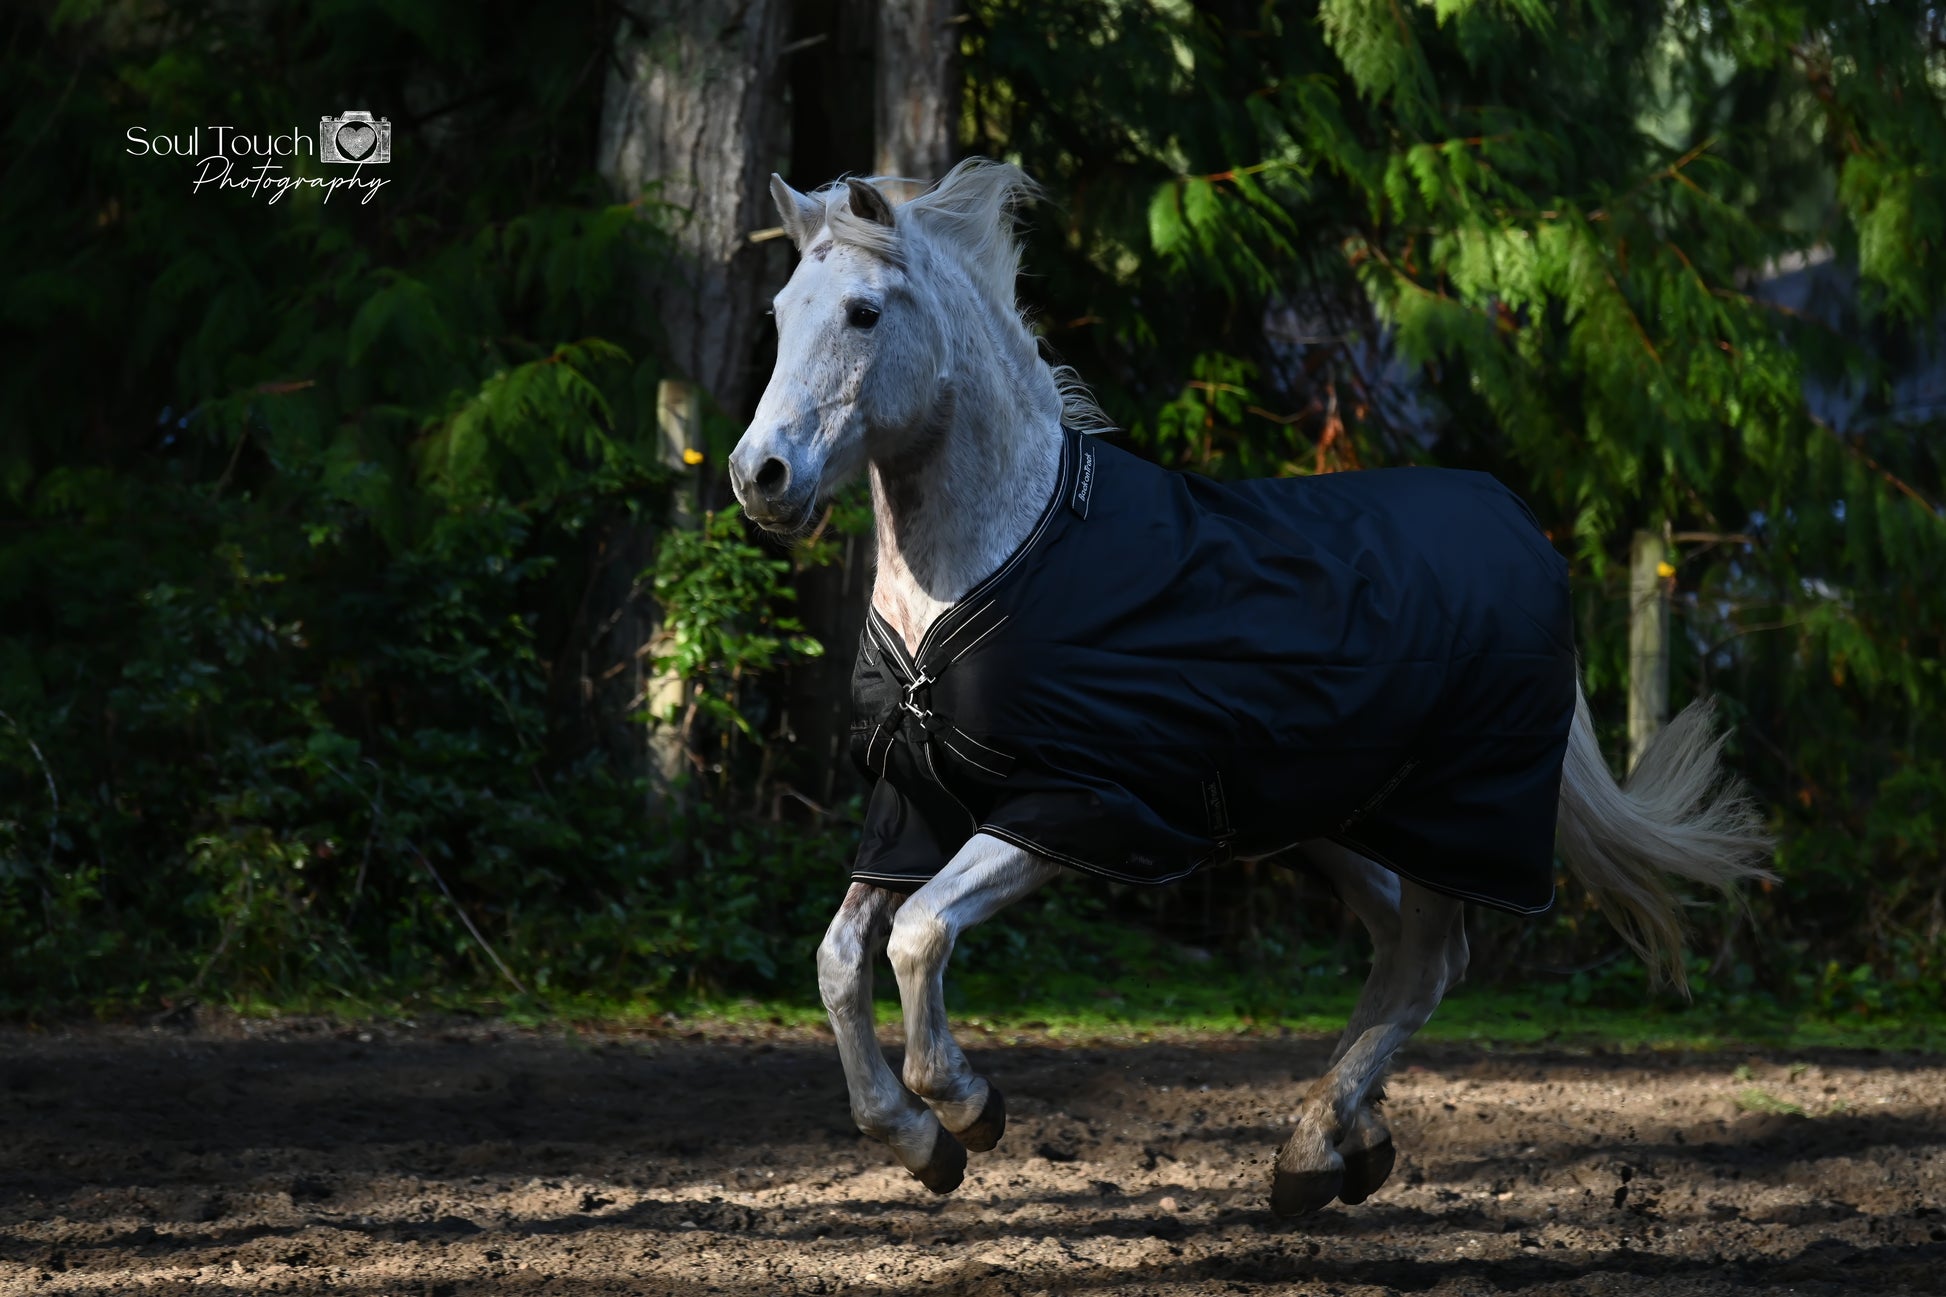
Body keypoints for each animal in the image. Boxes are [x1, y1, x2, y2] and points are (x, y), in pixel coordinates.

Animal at [727, 159, 1773, 1218]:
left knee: (1428, 963)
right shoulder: (914, 806)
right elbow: (839, 958)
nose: (759, 475)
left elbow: (918, 932)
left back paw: (1310, 1150)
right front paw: (912, 1138)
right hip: (1337, 820)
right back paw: (1354, 1140)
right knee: (1400, 948)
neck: (998, 561)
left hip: (1456, 821)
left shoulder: (1082, 807)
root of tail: (1524, 528)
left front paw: (967, 1109)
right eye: (779, 309)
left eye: (863, 311)